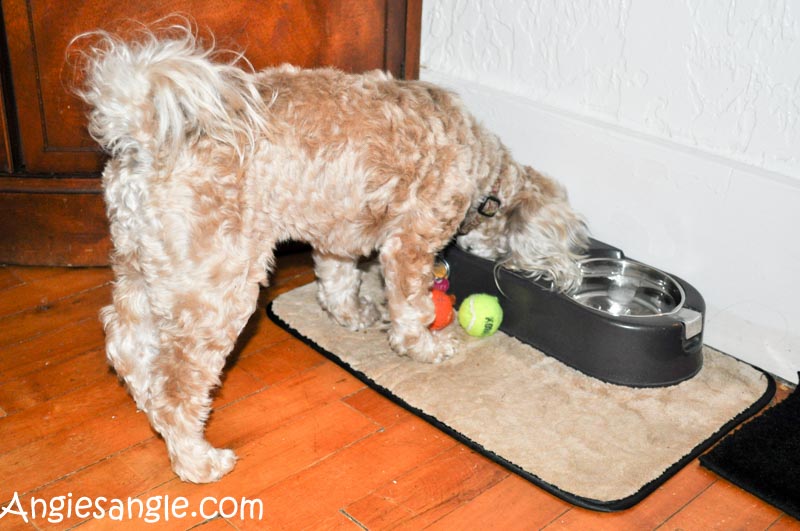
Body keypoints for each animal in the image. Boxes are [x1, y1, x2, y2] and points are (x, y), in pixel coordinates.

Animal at [73, 23, 588, 482]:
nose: (571, 277)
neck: (481, 168)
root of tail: (143, 135)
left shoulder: (337, 230)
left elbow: (339, 278)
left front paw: (352, 315)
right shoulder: (410, 242)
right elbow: (413, 306)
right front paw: (424, 345)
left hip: (145, 267)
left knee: (126, 341)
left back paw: (144, 399)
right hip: (215, 287)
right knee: (177, 386)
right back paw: (196, 459)